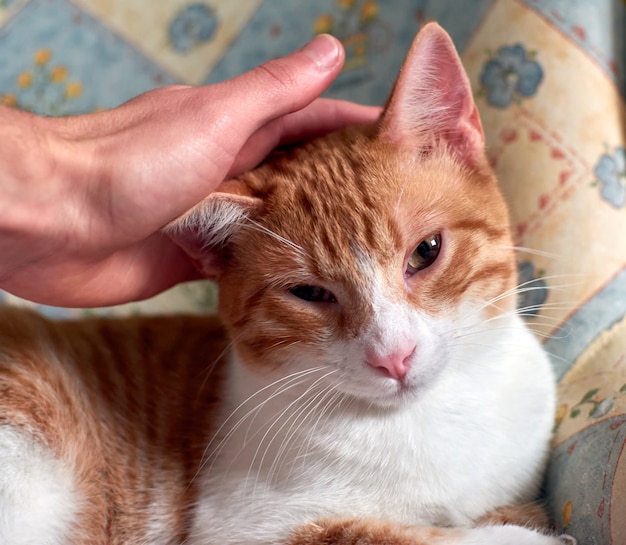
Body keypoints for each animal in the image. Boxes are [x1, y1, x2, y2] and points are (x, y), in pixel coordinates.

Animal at [0, 23, 576, 544]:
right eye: (310, 294)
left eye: (426, 252)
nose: (394, 357)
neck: (425, 420)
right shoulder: (242, 526)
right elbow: (403, 534)